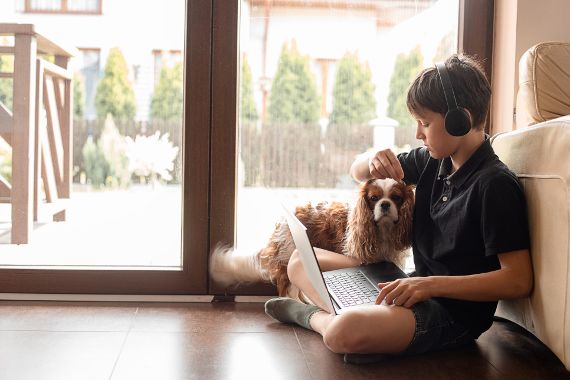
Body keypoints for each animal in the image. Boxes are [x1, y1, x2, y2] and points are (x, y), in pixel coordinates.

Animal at [209, 179, 412, 300]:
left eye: (396, 197)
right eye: (374, 198)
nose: (385, 204)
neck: (383, 232)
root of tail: (282, 222)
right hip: (290, 254)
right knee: (287, 288)